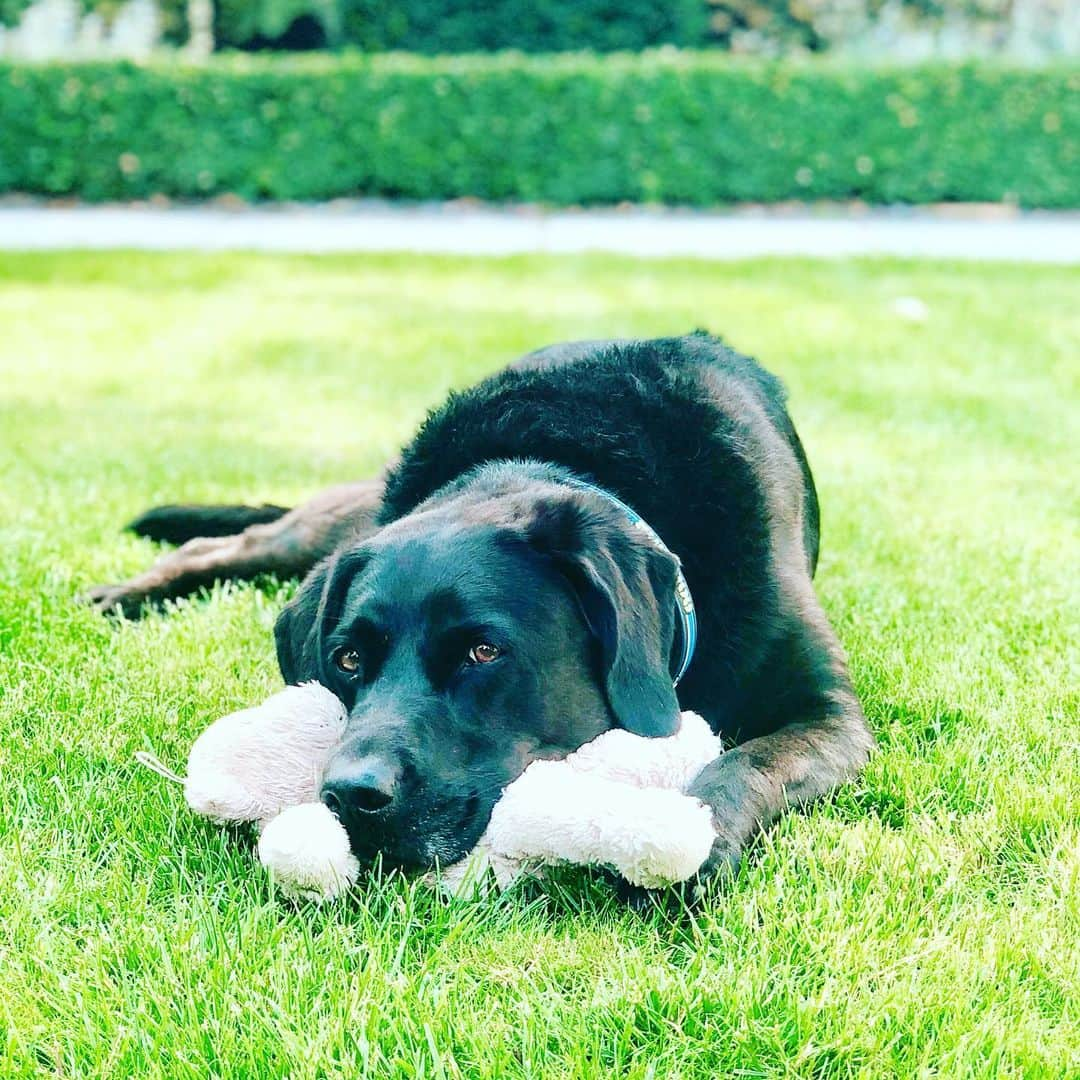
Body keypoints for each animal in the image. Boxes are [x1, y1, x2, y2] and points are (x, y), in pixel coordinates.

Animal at [88, 332, 872, 881]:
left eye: (484, 651)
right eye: (347, 659)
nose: (349, 795)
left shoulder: (831, 717)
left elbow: (748, 763)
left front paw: (695, 834)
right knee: (229, 545)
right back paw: (123, 595)